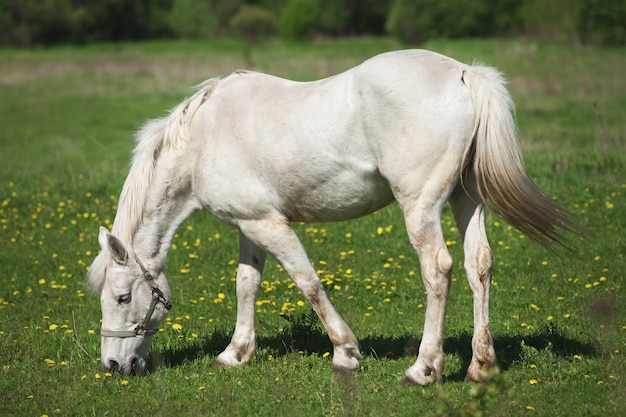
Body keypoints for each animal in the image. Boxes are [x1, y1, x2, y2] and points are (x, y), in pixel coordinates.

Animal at [86, 48, 576, 384]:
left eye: (123, 297)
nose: (112, 364)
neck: (202, 140)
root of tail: (463, 74)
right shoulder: (249, 224)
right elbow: (247, 284)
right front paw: (235, 353)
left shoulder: (269, 224)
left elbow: (307, 282)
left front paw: (345, 353)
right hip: (466, 199)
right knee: (480, 266)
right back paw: (481, 366)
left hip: (420, 207)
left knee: (438, 271)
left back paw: (423, 369)